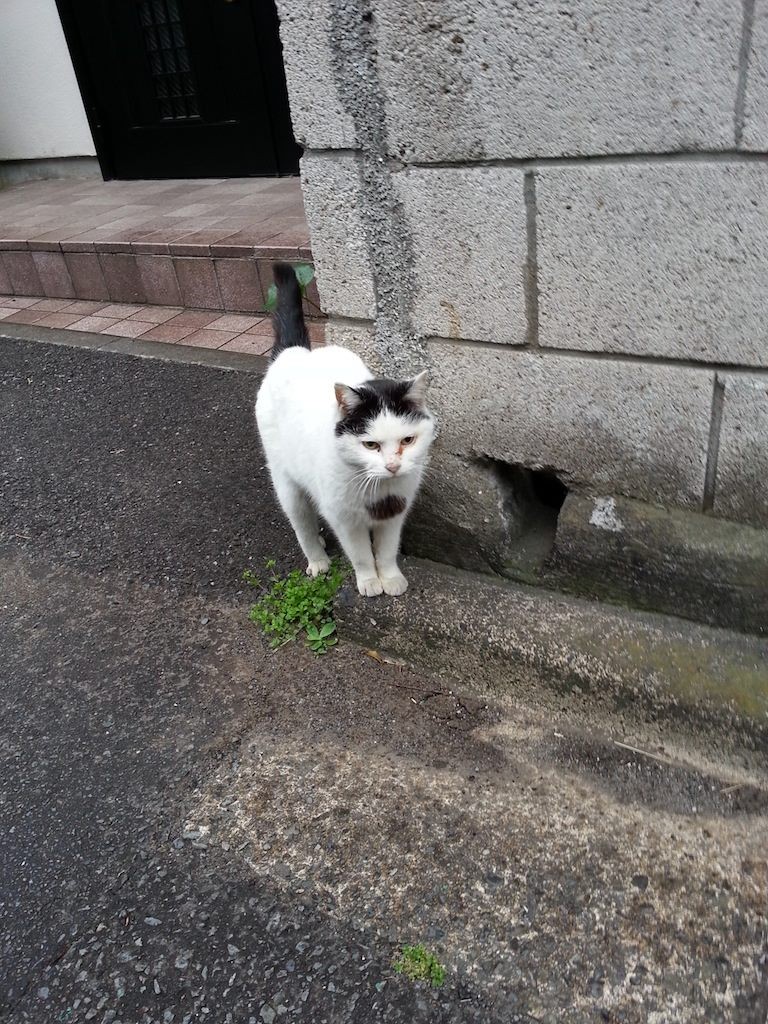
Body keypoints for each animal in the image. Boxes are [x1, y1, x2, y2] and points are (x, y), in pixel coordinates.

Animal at [252, 264, 434, 598]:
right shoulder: (343, 518)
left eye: (408, 440)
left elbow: (386, 551)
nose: (393, 466)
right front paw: (370, 582)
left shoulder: (395, 512)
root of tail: (293, 352)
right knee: (302, 523)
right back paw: (318, 559)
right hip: (287, 483)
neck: (379, 491)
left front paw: (391, 578)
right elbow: (361, 554)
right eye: (371, 445)